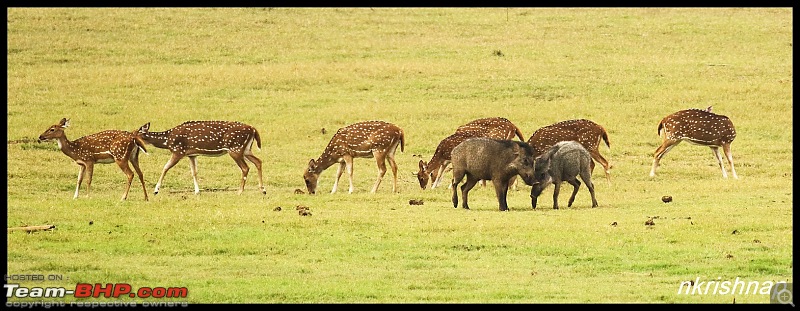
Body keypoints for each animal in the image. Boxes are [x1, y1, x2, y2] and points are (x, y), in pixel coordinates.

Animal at [139, 121, 268, 196]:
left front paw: (156, 190)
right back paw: (263, 190)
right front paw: (197, 191)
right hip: (246, 149)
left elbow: (165, 167)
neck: (167, 141)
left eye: (136, 133)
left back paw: (240, 191)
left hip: (235, 149)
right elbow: (194, 172)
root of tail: (254, 129)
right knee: (258, 161)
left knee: (245, 167)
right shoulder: (191, 154)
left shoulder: (178, 151)